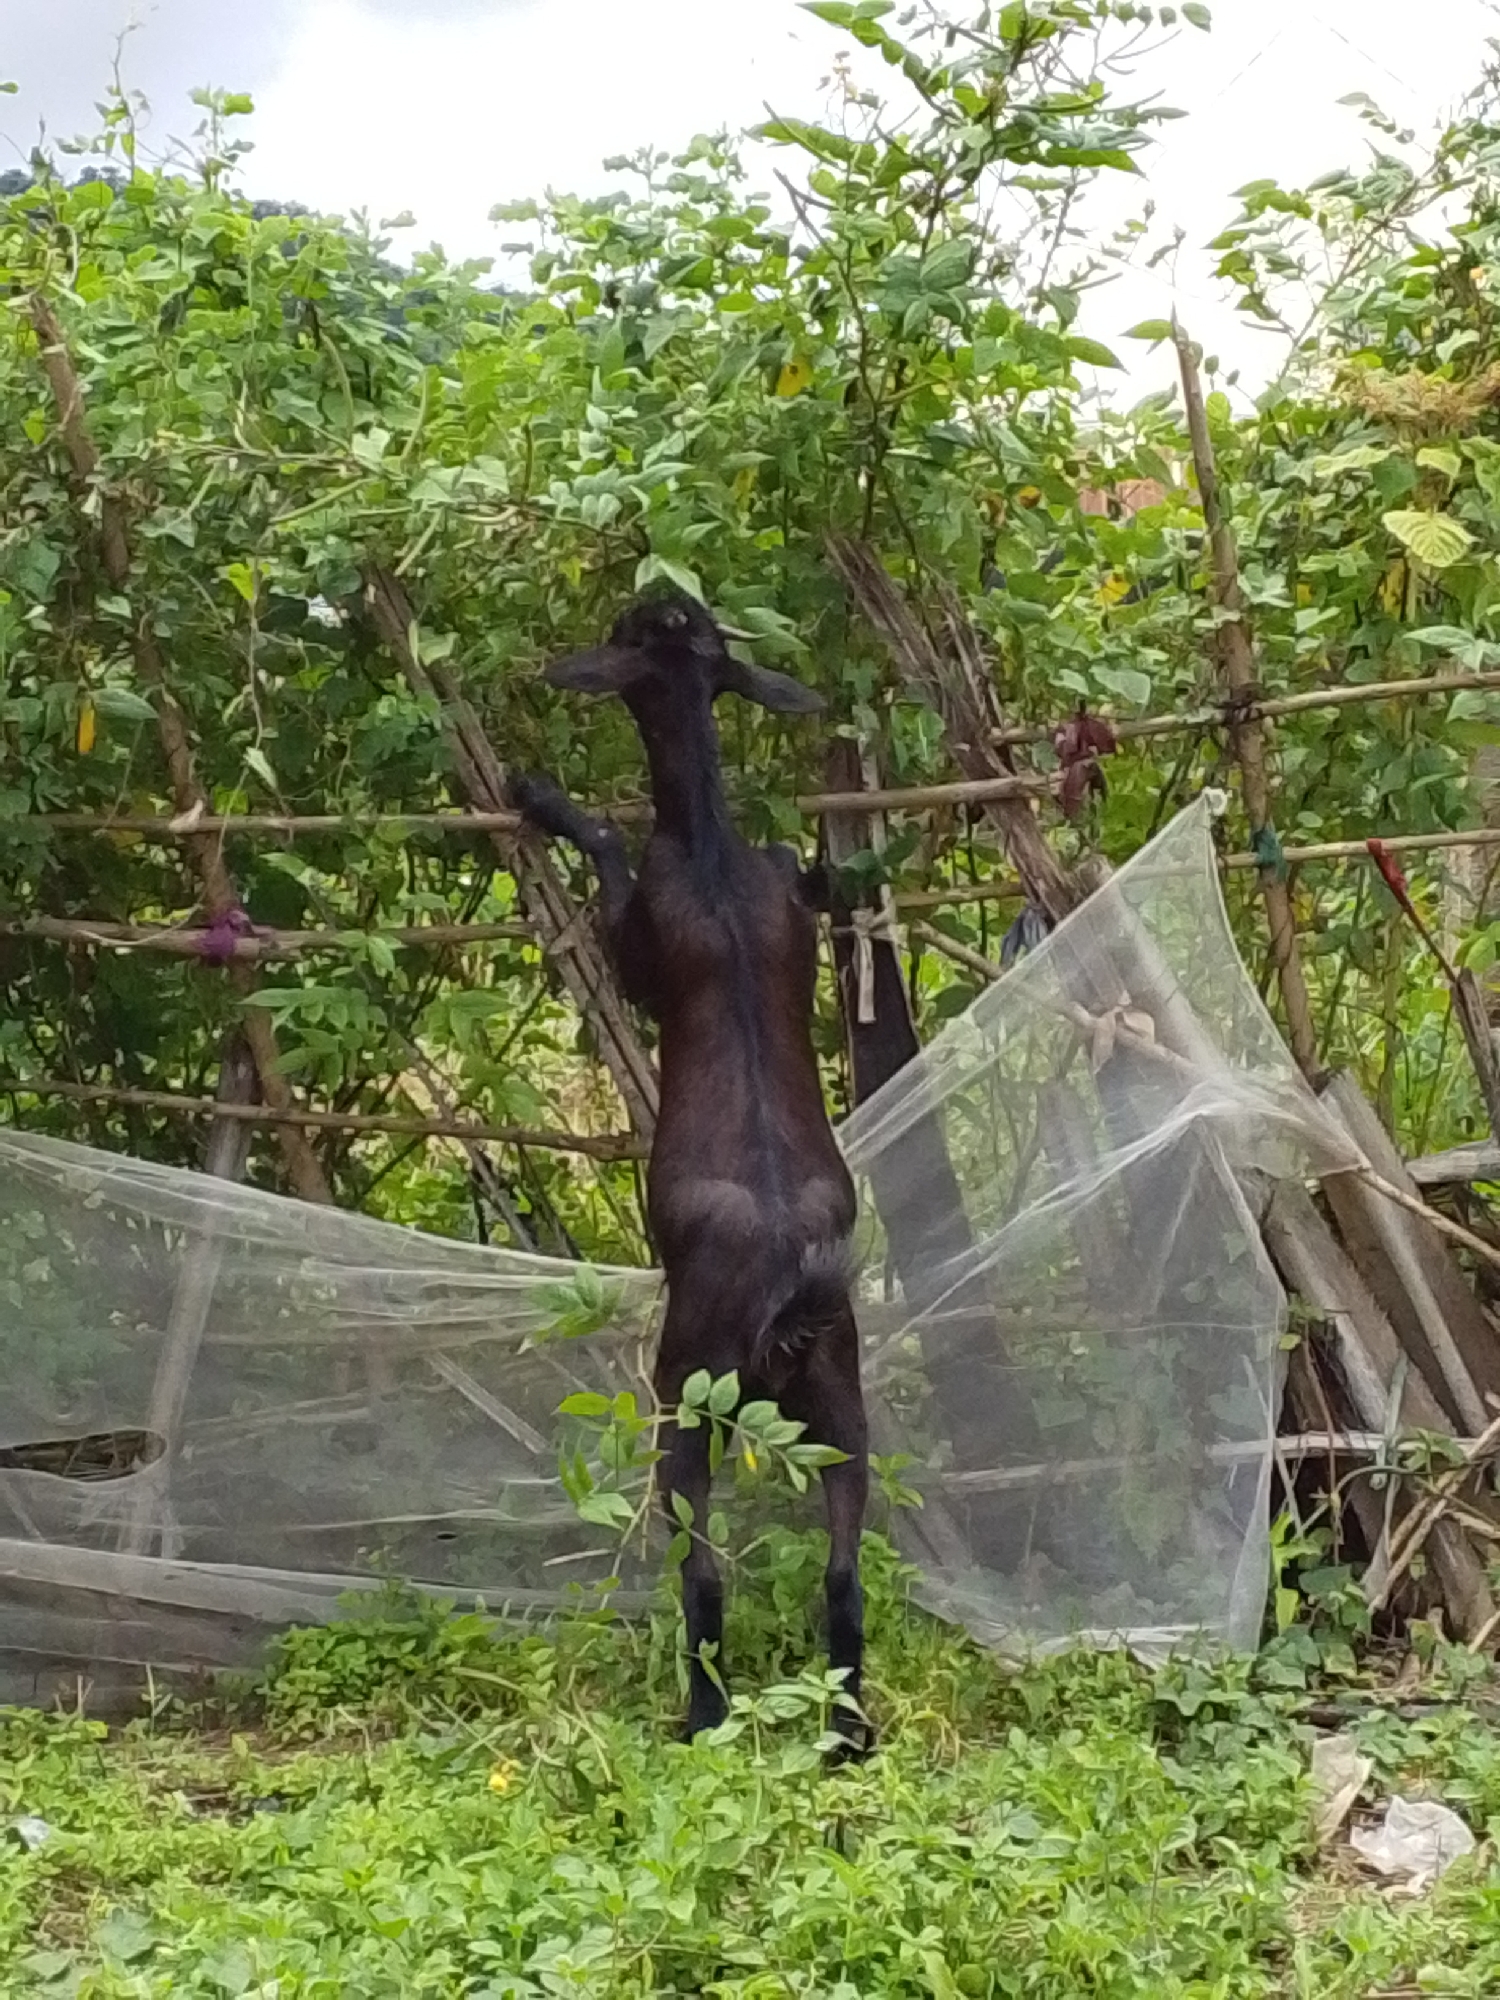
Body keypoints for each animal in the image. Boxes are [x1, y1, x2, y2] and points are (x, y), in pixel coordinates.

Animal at [509, 591, 869, 1756]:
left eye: (628, 632)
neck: (709, 837)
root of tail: (786, 1297)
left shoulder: (634, 933)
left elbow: (610, 850)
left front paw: (540, 796)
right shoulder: (785, 879)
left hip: (688, 1396)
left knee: (702, 1568)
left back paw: (703, 1714)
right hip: (840, 1398)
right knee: (843, 1575)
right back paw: (847, 1729)